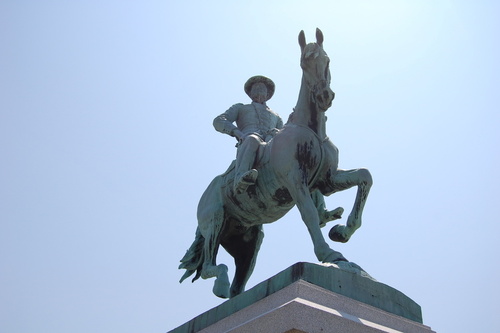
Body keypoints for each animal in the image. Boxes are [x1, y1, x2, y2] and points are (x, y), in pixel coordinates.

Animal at [179, 29, 372, 298]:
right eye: (304, 62)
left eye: (327, 59)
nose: (324, 96)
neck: (310, 129)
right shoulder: (294, 181)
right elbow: (309, 215)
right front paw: (330, 254)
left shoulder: (328, 181)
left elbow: (364, 176)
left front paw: (342, 231)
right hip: (214, 222)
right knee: (210, 267)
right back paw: (221, 283)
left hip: (248, 243)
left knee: (238, 285)